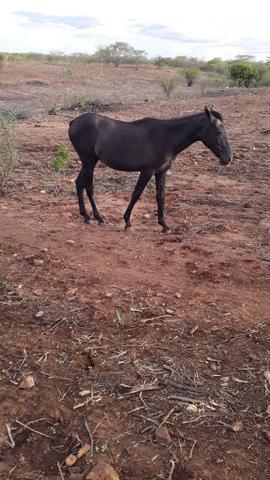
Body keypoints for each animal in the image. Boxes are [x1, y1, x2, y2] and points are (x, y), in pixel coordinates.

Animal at [68, 106, 232, 232]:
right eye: (219, 131)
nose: (228, 158)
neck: (167, 138)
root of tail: (74, 122)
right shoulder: (147, 171)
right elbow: (136, 194)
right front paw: (127, 222)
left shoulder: (161, 172)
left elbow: (160, 196)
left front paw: (164, 225)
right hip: (89, 161)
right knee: (88, 186)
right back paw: (99, 218)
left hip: (88, 162)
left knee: (79, 183)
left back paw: (86, 216)